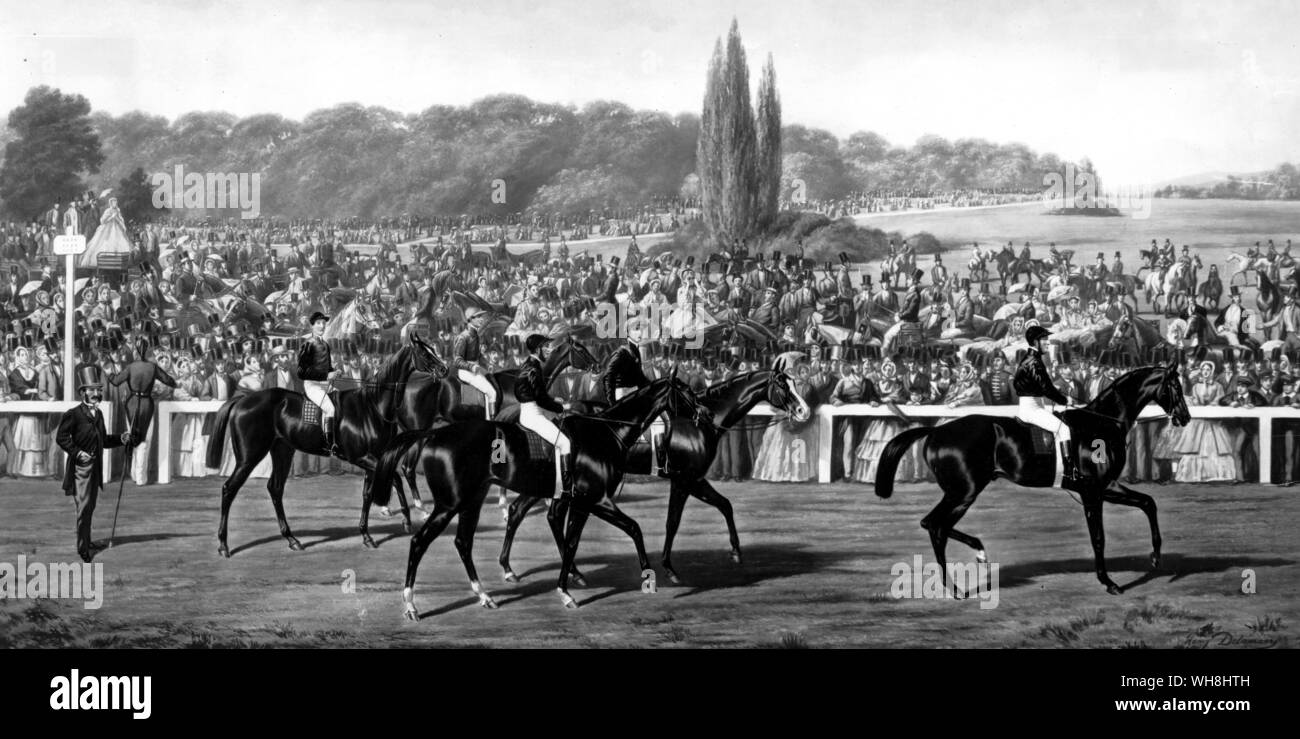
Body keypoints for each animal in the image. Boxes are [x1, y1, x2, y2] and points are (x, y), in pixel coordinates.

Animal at [204, 331, 447, 556]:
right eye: (425, 352)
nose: (445, 369)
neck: (372, 406)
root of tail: (242, 400)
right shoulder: (361, 457)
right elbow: (394, 477)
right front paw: (406, 520)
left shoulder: (373, 458)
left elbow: (368, 494)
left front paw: (367, 535)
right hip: (249, 457)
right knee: (229, 489)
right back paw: (224, 546)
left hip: (282, 451)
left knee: (275, 489)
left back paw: (292, 540)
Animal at [369, 372, 712, 621]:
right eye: (684, 391)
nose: (705, 413)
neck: (604, 434)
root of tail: (434, 433)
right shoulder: (595, 500)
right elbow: (632, 529)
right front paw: (648, 577)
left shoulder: (581, 503)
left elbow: (572, 543)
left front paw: (567, 588)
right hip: (448, 504)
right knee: (419, 542)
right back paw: (411, 605)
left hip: (472, 501)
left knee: (463, 542)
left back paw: (484, 595)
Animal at [496, 366, 811, 582]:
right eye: (784, 386)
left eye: (795, 383)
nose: (804, 410)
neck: (698, 422)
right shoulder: (684, 479)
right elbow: (673, 522)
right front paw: (669, 567)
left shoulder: (695, 479)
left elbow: (725, 505)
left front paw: (735, 551)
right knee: (532, 513)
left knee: (523, 511)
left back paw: (524, 569)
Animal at [873, 361, 1190, 598]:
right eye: (1175, 386)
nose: (1184, 418)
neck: (1101, 422)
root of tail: (936, 431)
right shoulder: (1093, 492)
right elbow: (1098, 538)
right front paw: (1109, 582)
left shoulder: (1107, 487)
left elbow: (1148, 503)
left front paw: (1155, 558)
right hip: (963, 492)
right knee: (936, 526)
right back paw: (959, 583)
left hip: (961, 492)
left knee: (934, 524)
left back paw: (975, 558)